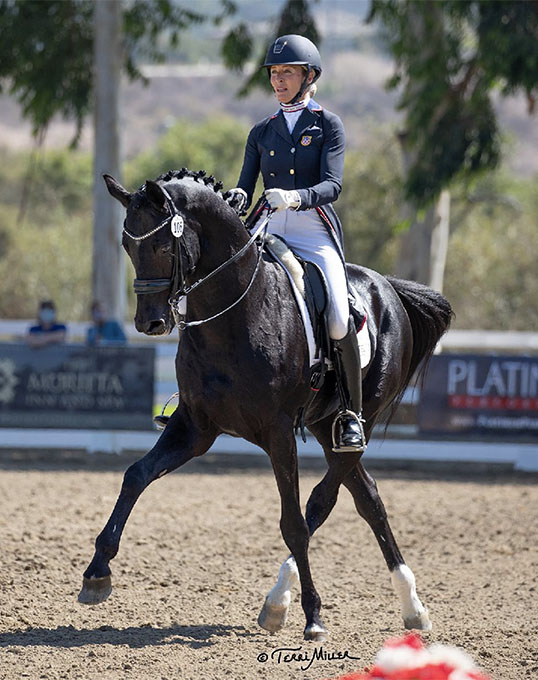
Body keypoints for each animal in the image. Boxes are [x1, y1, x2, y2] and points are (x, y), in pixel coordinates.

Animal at [77, 167, 450, 640]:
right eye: (128, 246)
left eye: (162, 245)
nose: (150, 323)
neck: (232, 316)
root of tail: (387, 287)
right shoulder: (195, 427)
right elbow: (135, 476)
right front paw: (96, 572)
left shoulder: (277, 433)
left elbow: (293, 522)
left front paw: (314, 616)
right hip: (327, 427)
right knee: (368, 499)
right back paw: (411, 606)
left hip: (354, 423)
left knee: (321, 501)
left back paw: (282, 601)